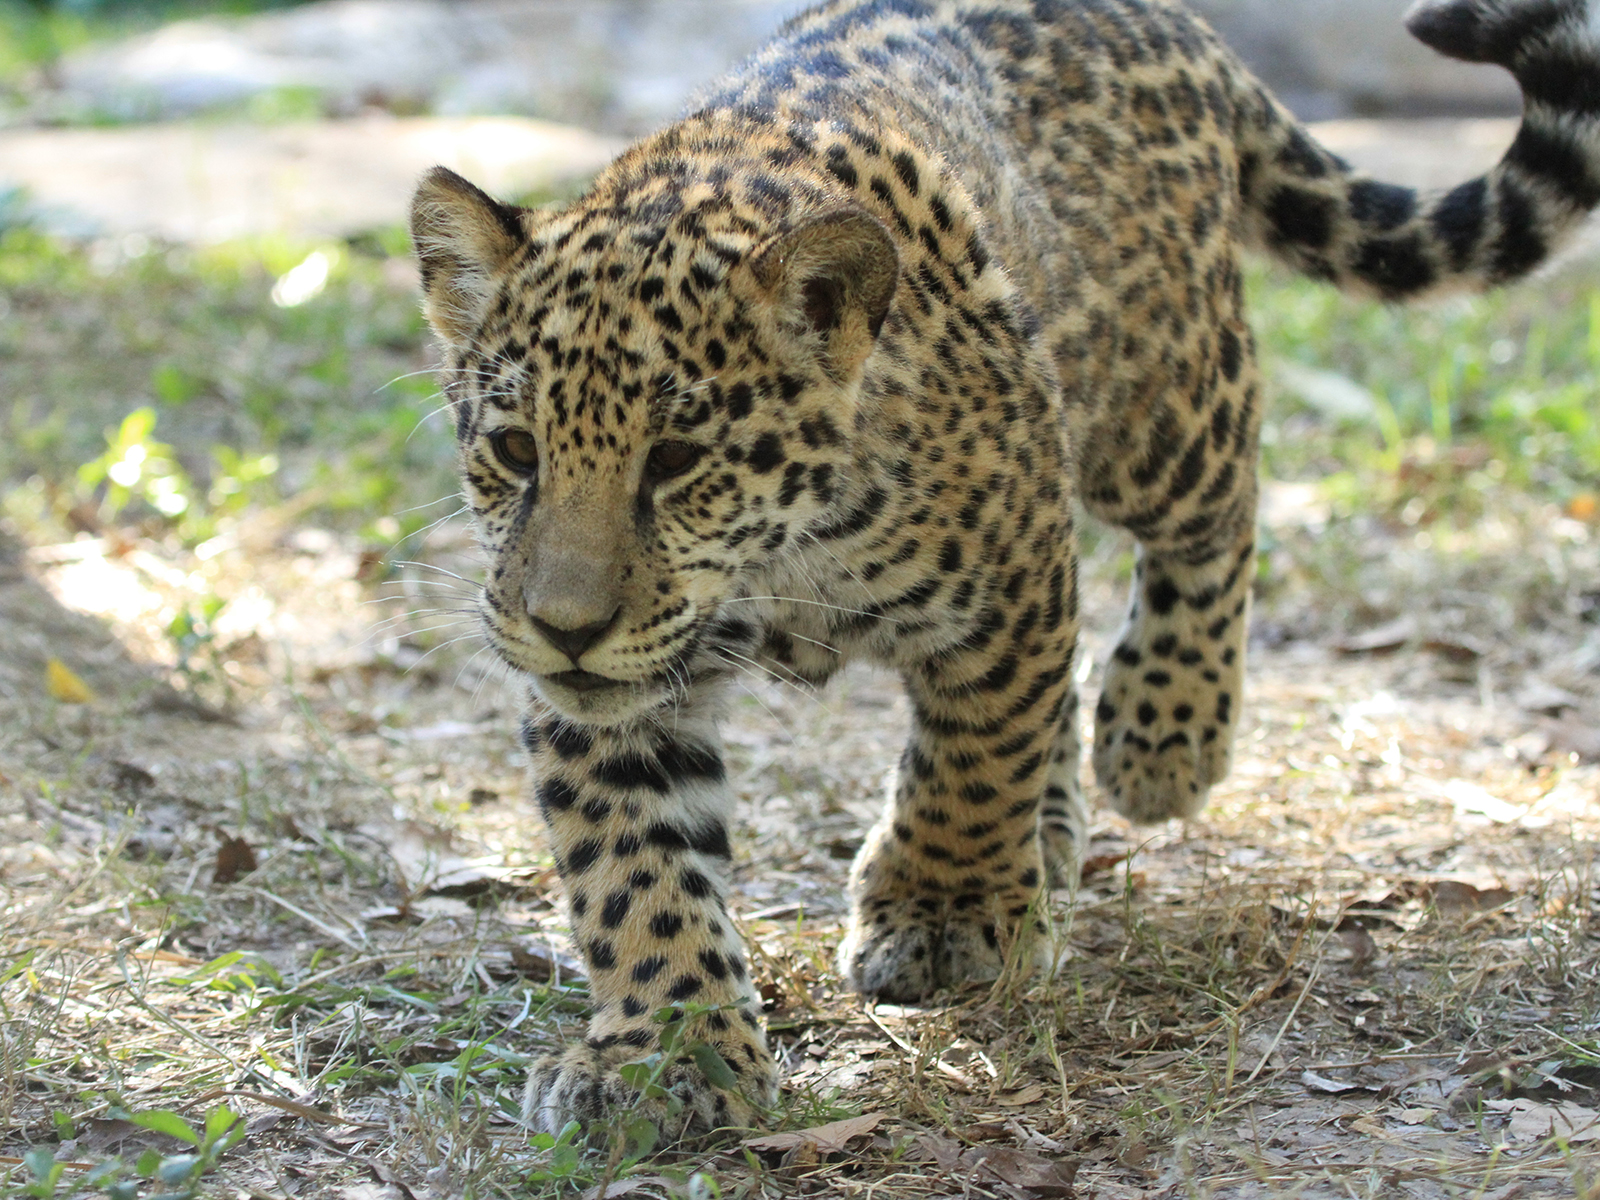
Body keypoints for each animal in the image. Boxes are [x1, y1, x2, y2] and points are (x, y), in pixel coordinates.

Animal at [409, 0, 1600, 1136]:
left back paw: (1162, 734)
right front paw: (666, 1053)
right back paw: (1061, 831)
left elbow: (977, 757)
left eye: (675, 459)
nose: (565, 628)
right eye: (515, 449)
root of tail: (1176, 25)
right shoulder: (611, 697)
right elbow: (637, 869)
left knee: (1223, 508)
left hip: (1159, 407)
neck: (785, 554)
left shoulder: (1008, 583)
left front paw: (942, 915)